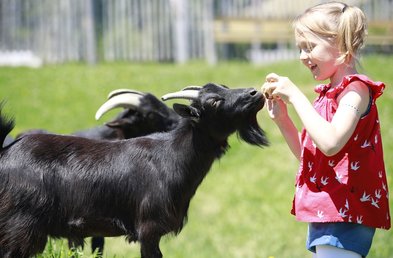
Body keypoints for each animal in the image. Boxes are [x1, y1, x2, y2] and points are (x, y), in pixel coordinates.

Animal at [0, 83, 268, 258]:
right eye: (213, 101)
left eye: (225, 87)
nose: (256, 92)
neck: (170, 157)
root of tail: (5, 152)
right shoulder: (149, 229)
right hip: (19, 227)